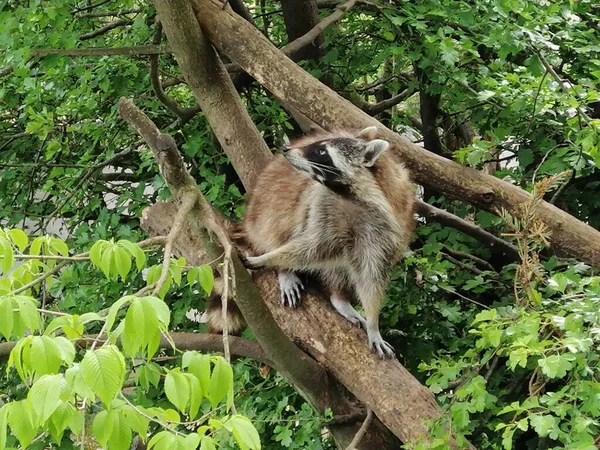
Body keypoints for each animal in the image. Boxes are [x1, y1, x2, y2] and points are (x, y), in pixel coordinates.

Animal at [241, 126, 414, 358]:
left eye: (322, 151)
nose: (286, 149)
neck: (352, 195)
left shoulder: (385, 229)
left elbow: (371, 274)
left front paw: (373, 323)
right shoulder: (323, 203)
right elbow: (311, 246)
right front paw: (269, 259)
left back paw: (339, 297)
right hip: (265, 207)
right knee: (280, 224)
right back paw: (284, 269)